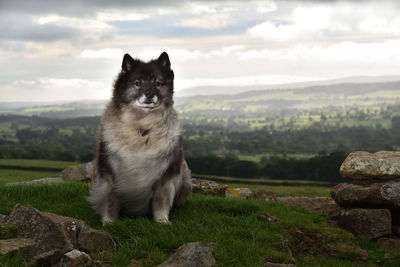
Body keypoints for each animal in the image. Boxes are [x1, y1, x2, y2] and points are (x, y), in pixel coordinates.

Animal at [89, 51, 192, 225]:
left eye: (157, 83)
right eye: (137, 83)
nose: (149, 94)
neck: (142, 126)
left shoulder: (165, 175)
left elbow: (160, 202)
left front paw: (162, 220)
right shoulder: (109, 173)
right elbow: (110, 200)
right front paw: (108, 221)